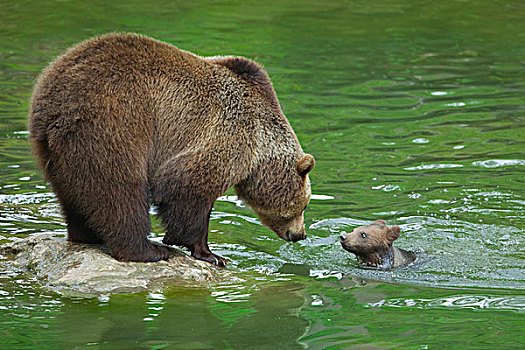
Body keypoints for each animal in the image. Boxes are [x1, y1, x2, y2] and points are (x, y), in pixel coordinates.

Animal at [28, 34, 314, 266]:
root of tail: (52, 99)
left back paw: (86, 235)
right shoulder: (227, 135)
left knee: (73, 193)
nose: (300, 235)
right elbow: (185, 188)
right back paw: (146, 250)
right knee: (120, 190)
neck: (259, 152)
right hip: (114, 122)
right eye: (304, 205)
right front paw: (210, 254)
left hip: (53, 150)